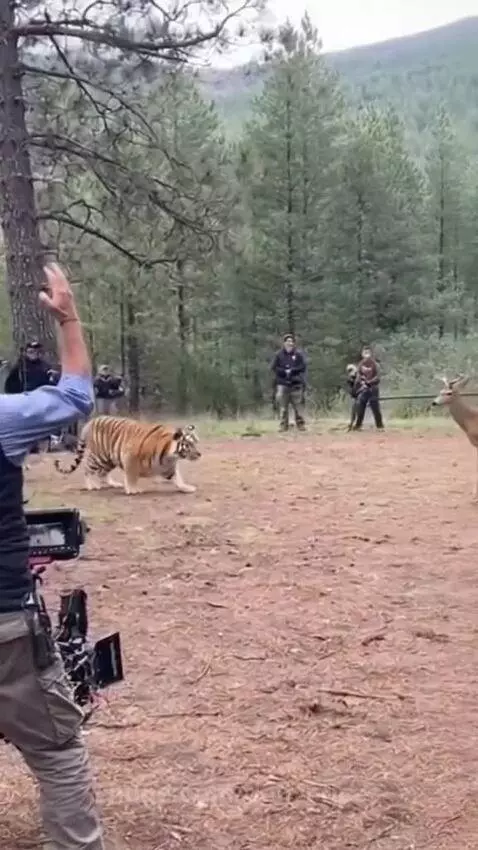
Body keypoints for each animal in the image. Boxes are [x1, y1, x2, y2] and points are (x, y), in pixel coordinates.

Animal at [53, 416, 201, 495]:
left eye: (196, 442)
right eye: (189, 444)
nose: (199, 454)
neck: (170, 455)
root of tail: (91, 421)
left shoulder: (168, 467)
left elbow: (177, 478)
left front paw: (186, 488)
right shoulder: (130, 458)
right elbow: (131, 477)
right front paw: (132, 490)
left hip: (109, 459)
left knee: (102, 473)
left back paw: (113, 484)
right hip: (99, 456)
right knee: (87, 469)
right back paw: (92, 486)